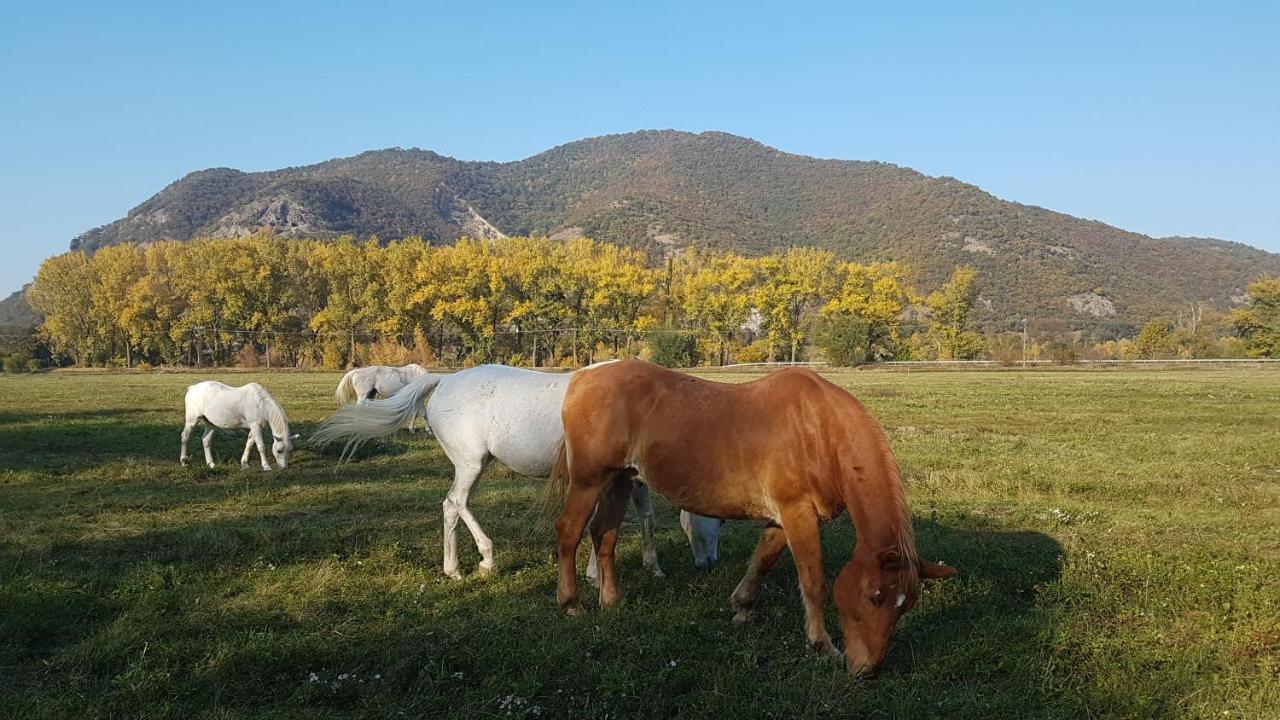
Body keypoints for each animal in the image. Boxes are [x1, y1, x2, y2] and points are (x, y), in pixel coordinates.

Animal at [312, 363, 721, 576]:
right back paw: (484, 559)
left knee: (451, 507)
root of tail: (445, 379)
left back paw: (453, 568)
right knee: (457, 503)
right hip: (470, 463)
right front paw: (593, 574)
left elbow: (646, 516)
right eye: (714, 521)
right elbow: (600, 523)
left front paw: (653, 566)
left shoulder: (630, 478)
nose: (709, 564)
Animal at [545, 361, 957, 676]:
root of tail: (582, 378)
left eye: (907, 605)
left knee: (605, 535)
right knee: (569, 533)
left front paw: (741, 610)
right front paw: (823, 647)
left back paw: (610, 601)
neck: (819, 430)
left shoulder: (786, 518)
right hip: (589, 482)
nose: (865, 669)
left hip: (620, 479)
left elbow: (761, 562)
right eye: (873, 597)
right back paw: (571, 604)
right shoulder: (797, 514)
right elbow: (813, 583)